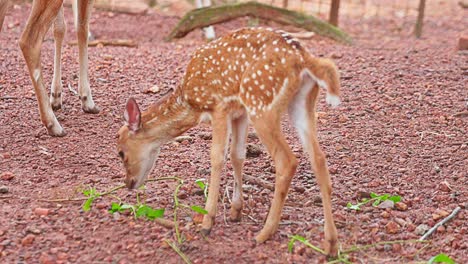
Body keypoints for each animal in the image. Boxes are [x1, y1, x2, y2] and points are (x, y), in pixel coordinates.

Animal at [0, 0, 98, 136]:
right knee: (29, 41)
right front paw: (87, 100)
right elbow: (82, 26)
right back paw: (53, 125)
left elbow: (60, 28)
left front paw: (56, 97)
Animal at [118, 27, 340, 256]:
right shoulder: (239, 113)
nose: (128, 183)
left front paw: (207, 222)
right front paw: (235, 211)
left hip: (261, 103)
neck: (190, 103)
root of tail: (304, 59)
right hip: (301, 103)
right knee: (319, 159)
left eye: (121, 152)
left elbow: (217, 158)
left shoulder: (219, 107)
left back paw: (265, 232)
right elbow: (237, 155)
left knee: (287, 161)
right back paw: (330, 244)